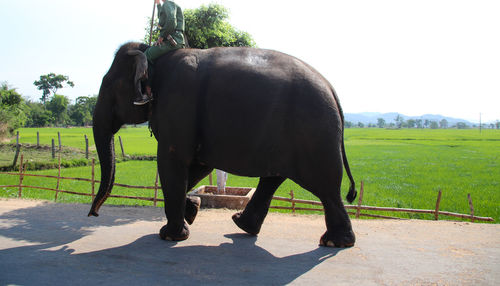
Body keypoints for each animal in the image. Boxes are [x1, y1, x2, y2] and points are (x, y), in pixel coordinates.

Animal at [88, 41, 358, 247]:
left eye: (109, 85)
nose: (94, 213)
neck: (154, 57)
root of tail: (332, 90)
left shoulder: (178, 104)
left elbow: (172, 161)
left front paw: (171, 235)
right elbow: (198, 165)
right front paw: (193, 210)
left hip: (313, 135)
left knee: (326, 187)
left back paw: (334, 242)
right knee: (275, 177)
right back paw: (242, 224)